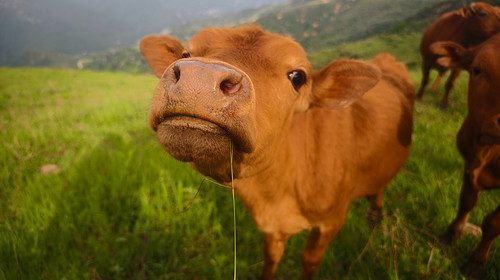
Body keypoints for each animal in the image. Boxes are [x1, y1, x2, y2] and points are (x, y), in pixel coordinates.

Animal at [140, 25, 414, 278]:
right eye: (185, 54)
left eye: (297, 77)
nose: (200, 77)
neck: (276, 193)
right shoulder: (272, 227)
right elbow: (271, 256)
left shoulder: (331, 221)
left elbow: (309, 259)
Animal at [434, 34, 500, 278]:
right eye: (477, 69)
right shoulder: (469, 166)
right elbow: (465, 203)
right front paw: (451, 234)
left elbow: (493, 224)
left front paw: (476, 262)